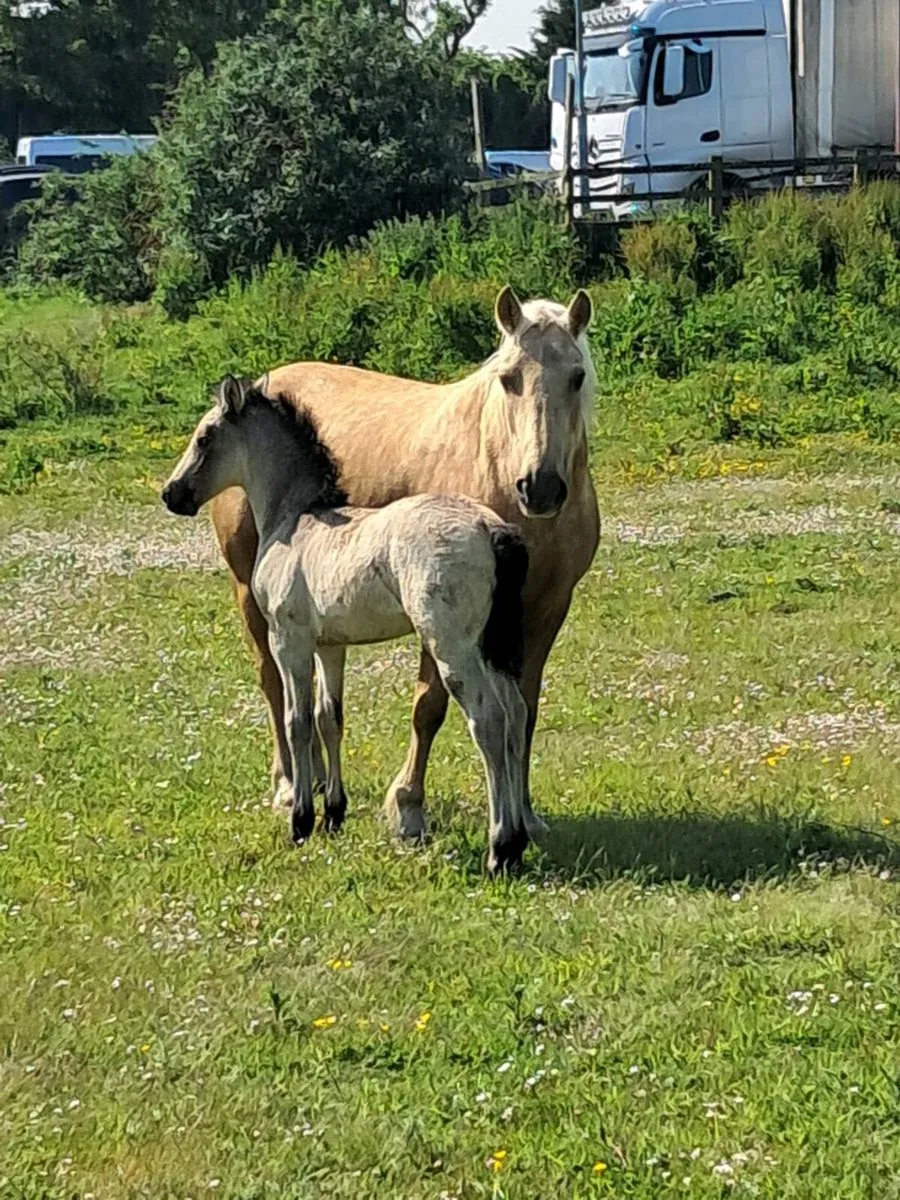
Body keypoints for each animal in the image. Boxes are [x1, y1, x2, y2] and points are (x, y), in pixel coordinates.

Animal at [162, 376, 532, 874]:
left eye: (204, 437)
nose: (172, 494)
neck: (294, 519)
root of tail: (492, 529)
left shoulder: (289, 640)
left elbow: (298, 720)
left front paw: (301, 821)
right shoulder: (330, 645)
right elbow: (329, 717)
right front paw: (334, 815)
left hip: (452, 646)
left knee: (489, 721)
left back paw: (499, 849)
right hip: (495, 647)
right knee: (516, 717)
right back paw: (518, 842)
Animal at [210, 285, 600, 840]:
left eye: (577, 375)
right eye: (508, 378)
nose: (540, 486)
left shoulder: (544, 610)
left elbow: (525, 708)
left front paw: (524, 814)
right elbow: (429, 707)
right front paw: (408, 807)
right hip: (249, 593)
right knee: (272, 682)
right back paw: (288, 787)